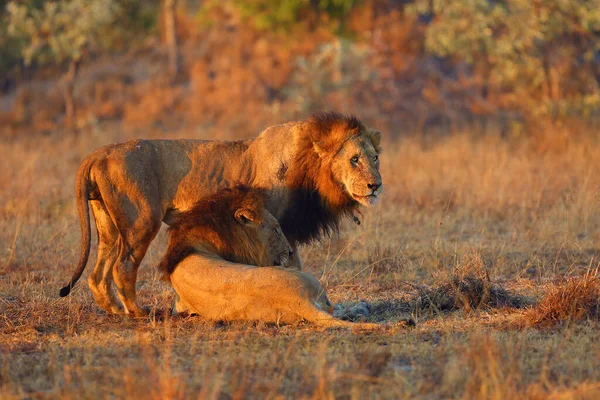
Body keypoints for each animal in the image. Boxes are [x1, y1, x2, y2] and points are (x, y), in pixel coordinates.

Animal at [159, 186, 380, 330]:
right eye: (276, 229)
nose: (290, 251)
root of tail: (299, 301)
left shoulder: (179, 305)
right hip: (308, 279)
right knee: (333, 309)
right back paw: (361, 307)